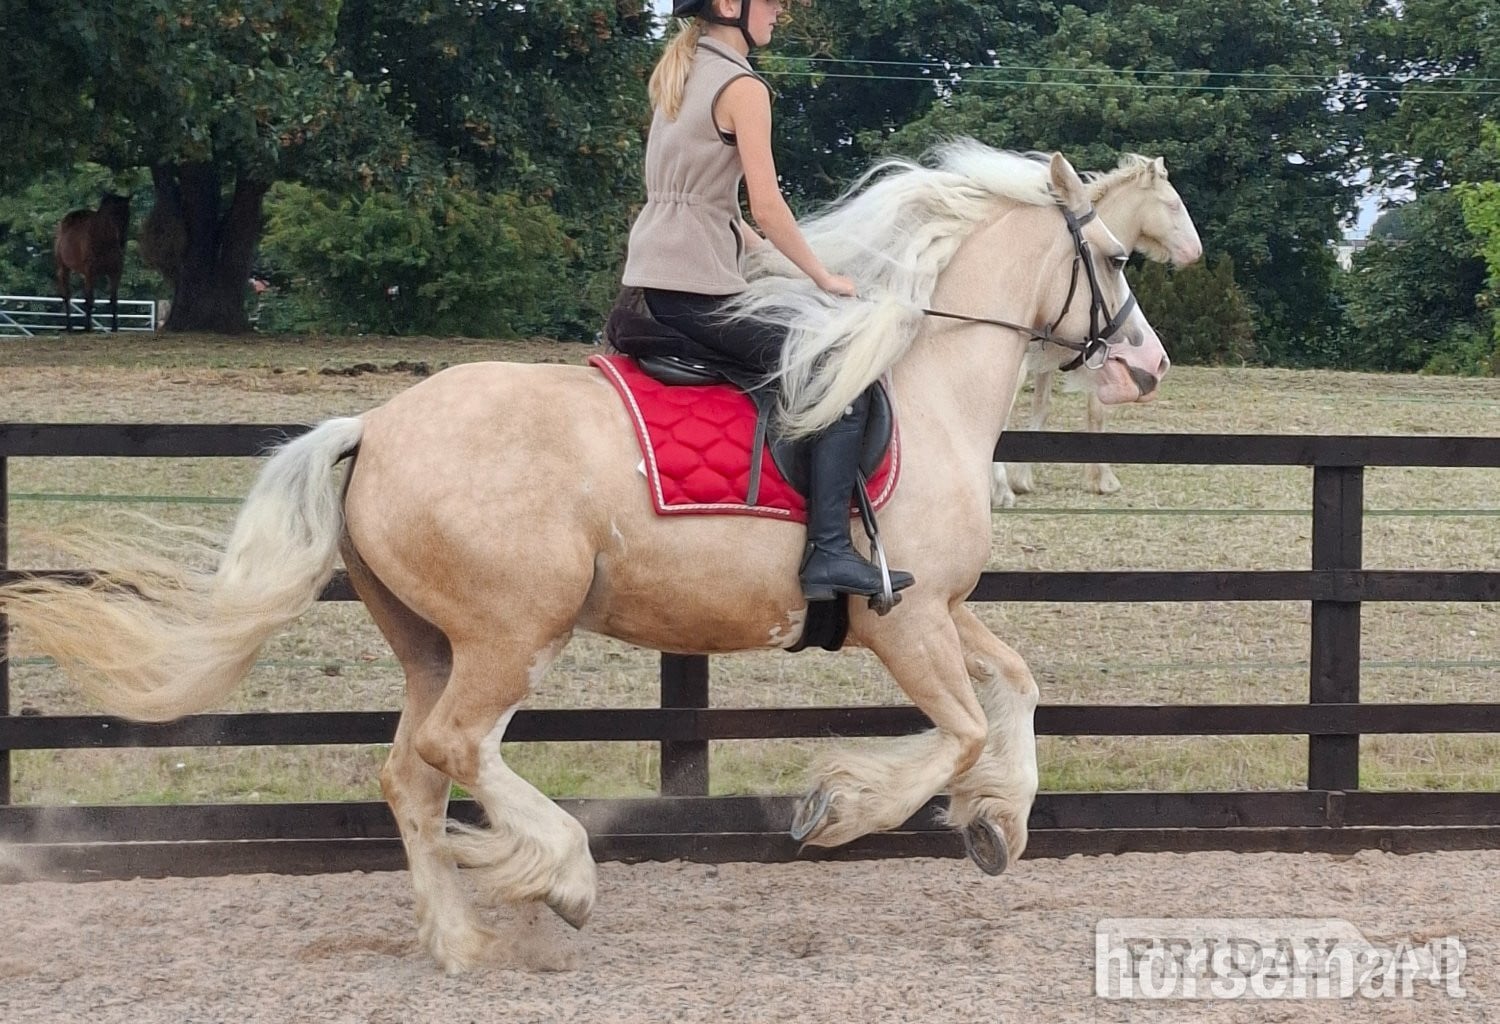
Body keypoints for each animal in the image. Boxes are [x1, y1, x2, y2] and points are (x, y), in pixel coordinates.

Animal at [53, 193, 131, 332]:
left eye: (128, 215)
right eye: (112, 215)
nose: (122, 241)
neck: (104, 241)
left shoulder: (116, 272)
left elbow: (113, 299)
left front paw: (114, 328)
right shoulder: (90, 272)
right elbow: (90, 299)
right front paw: (88, 328)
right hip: (64, 268)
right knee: (67, 296)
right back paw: (70, 327)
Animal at [990, 156, 1202, 507]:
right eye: (1173, 204)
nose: (1195, 252)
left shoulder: (1049, 362)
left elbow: (1041, 408)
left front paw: (1022, 478)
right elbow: (1096, 410)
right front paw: (1102, 479)